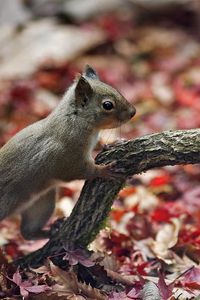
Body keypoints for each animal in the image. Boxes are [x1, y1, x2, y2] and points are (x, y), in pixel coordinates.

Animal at [0, 65, 136, 239]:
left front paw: (113, 143)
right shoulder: (66, 158)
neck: (76, 120)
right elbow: (79, 171)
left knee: (27, 232)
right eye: (107, 105)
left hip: (41, 203)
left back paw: (52, 229)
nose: (133, 112)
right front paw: (104, 170)